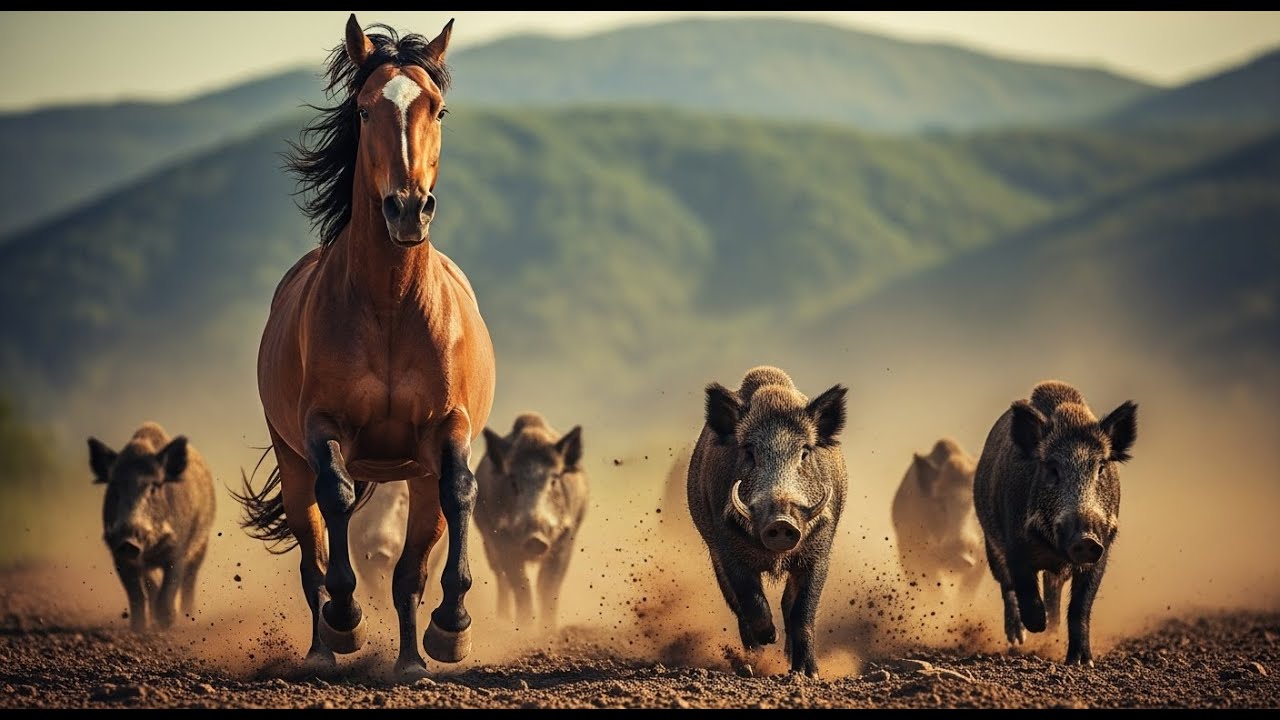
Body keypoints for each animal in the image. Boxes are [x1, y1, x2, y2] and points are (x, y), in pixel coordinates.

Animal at [235, 15, 495, 680]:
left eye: (437, 108)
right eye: (364, 107)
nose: (407, 208)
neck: (391, 307)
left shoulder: (447, 429)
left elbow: (460, 494)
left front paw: (453, 628)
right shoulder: (323, 427)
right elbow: (337, 500)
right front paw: (347, 617)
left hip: (416, 477)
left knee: (409, 571)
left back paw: (412, 659)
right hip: (291, 461)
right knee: (312, 553)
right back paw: (324, 649)